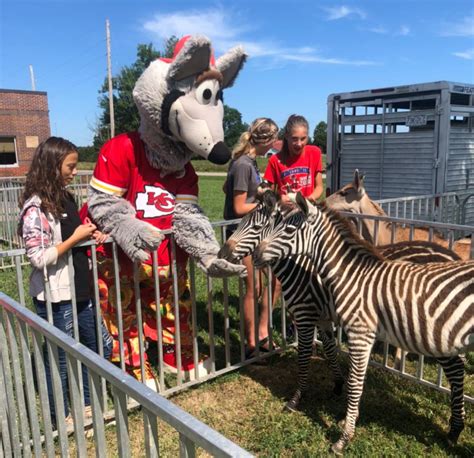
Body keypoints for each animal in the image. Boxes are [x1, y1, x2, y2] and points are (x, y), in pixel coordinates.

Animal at [252, 191, 474, 452]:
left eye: (287, 230)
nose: (255, 255)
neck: (352, 275)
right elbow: (352, 377)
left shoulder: (359, 333)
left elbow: (354, 384)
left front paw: (343, 437)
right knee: (456, 370)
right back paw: (454, 430)